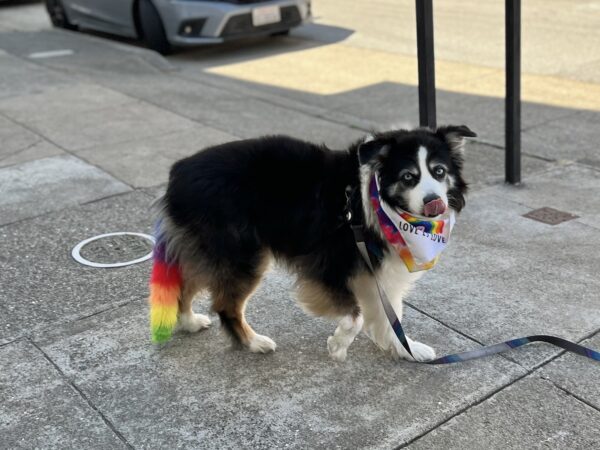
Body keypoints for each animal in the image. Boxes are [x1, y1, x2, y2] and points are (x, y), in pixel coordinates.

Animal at [148, 124, 476, 362]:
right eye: (409, 177)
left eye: (439, 172)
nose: (434, 202)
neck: (371, 201)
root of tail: (177, 173)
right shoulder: (327, 267)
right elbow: (355, 317)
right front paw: (339, 345)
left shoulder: (382, 270)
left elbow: (390, 315)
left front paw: (407, 349)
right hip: (242, 255)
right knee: (226, 304)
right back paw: (253, 342)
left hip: (209, 251)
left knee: (186, 283)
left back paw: (189, 321)